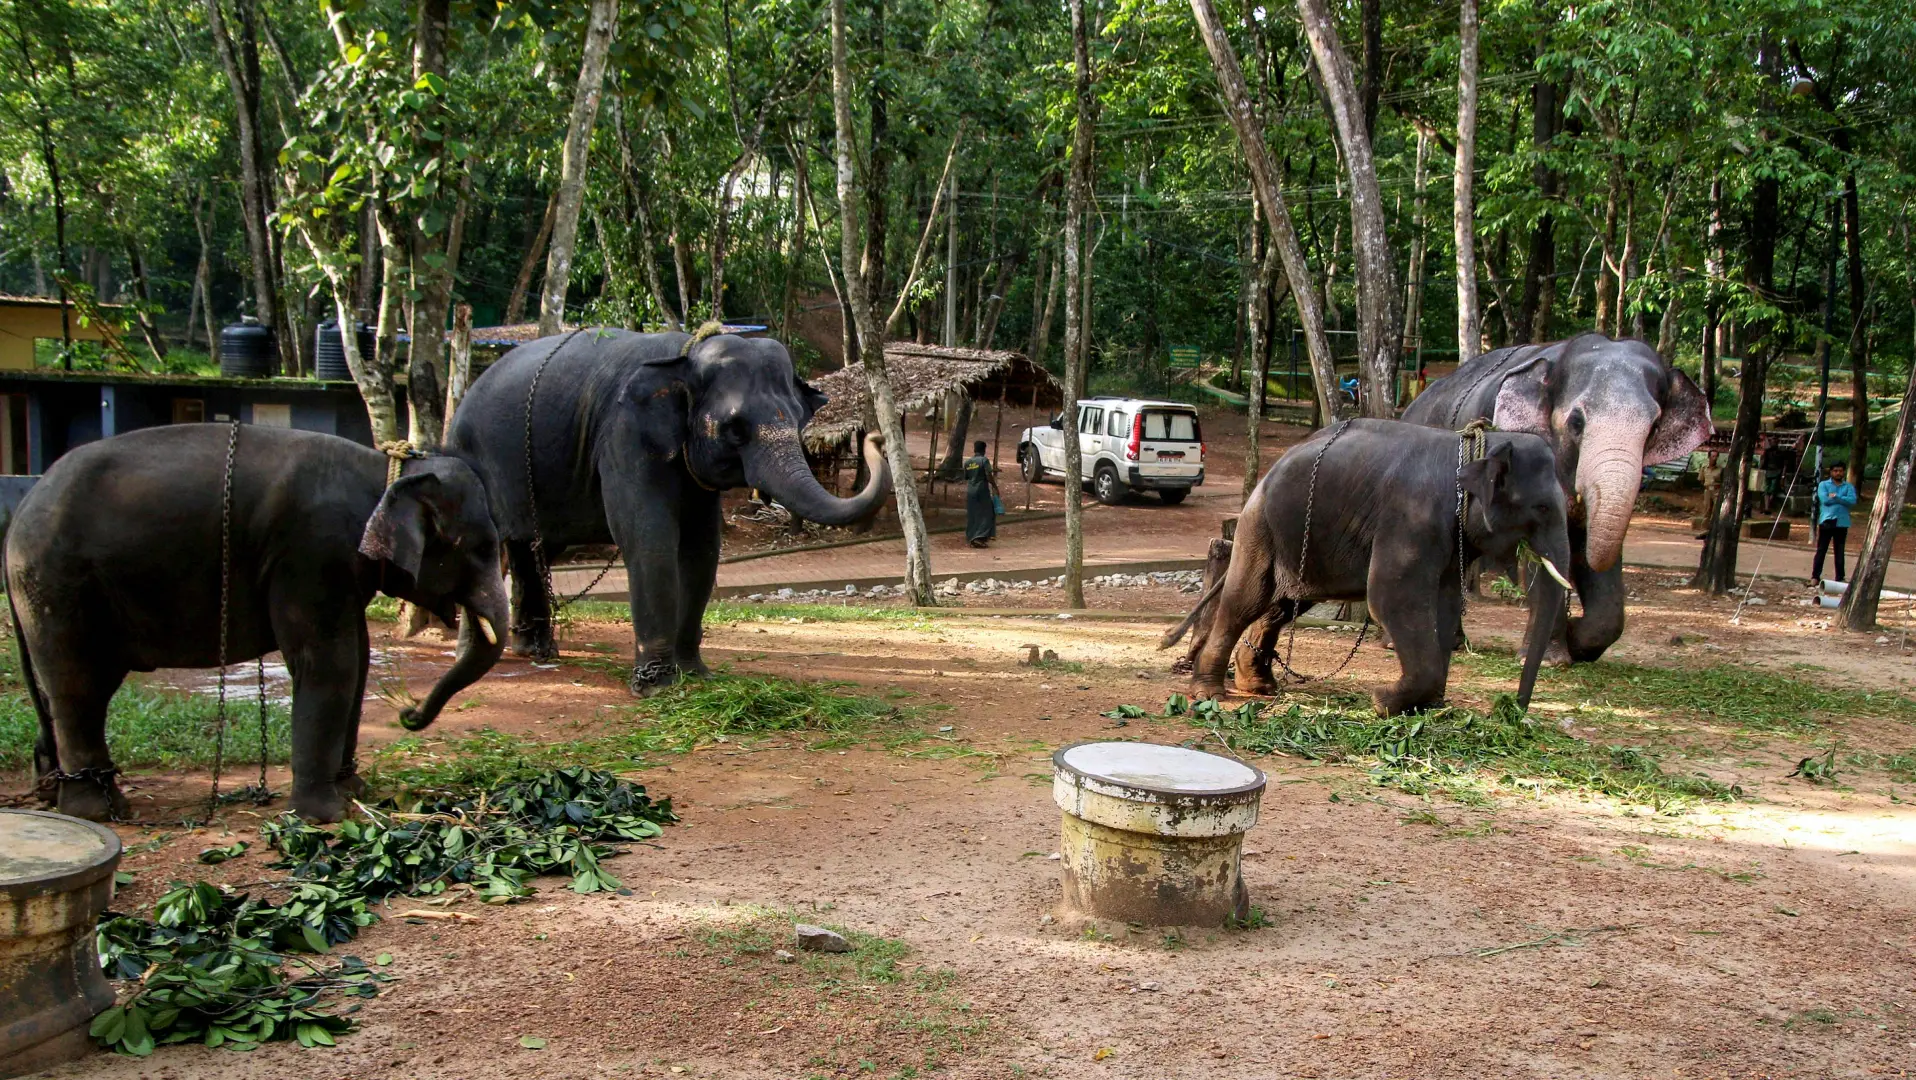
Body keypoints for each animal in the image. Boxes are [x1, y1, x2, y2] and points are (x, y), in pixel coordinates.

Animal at [4, 424, 509, 823]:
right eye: (482, 548)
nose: (408, 713)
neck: (385, 470)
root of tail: (18, 513)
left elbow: (360, 658)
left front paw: (353, 792)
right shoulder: (312, 551)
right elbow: (330, 662)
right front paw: (326, 815)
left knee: (63, 690)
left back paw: (53, 792)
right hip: (59, 582)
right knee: (78, 685)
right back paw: (98, 811)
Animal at [445, 328, 890, 694]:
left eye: (799, 421)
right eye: (735, 429)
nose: (877, 436)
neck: (684, 356)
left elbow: (702, 549)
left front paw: (696, 675)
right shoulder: (624, 435)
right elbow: (649, 537)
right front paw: (657, 688)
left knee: (534, 550)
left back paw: (535, 651)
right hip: (471, 459)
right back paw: (479, 655)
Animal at [1162, 420, 1574, 716]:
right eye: (1542, 508)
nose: (1511, 711)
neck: (1480, 445)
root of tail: (1266, 473)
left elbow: (1446, 603)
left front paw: (1429, 707)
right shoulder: (1411, 519)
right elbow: (1392, 598)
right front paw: (1383, 702)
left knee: (1283, 605)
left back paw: (1260, 687)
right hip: (1259, 526)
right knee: (1245, 600)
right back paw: (1208, 693)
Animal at [1402, 333, 1714, 663]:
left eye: (1654, 427)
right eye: (1576, 422)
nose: (1575, 621)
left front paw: (1576, 641)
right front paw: (1550, 658)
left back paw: (1453, 642)